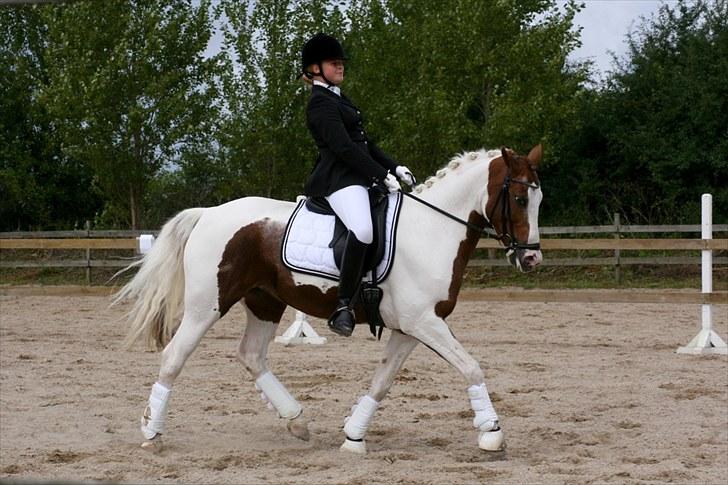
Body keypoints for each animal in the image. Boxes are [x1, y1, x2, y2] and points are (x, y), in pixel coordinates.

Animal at [116, 144, 544, 454]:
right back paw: (152, 433)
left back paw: (297, 421)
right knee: (174, 356)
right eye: (520, 199)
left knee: (251, 355)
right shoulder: (424, 322)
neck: (431, 230)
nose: (532, 258)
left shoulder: (412, 327)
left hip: (265, 302)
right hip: (207, 305)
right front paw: (492, 433)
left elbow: (382, 381)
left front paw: (354, 436)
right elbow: (471, 367)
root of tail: (208, 213)